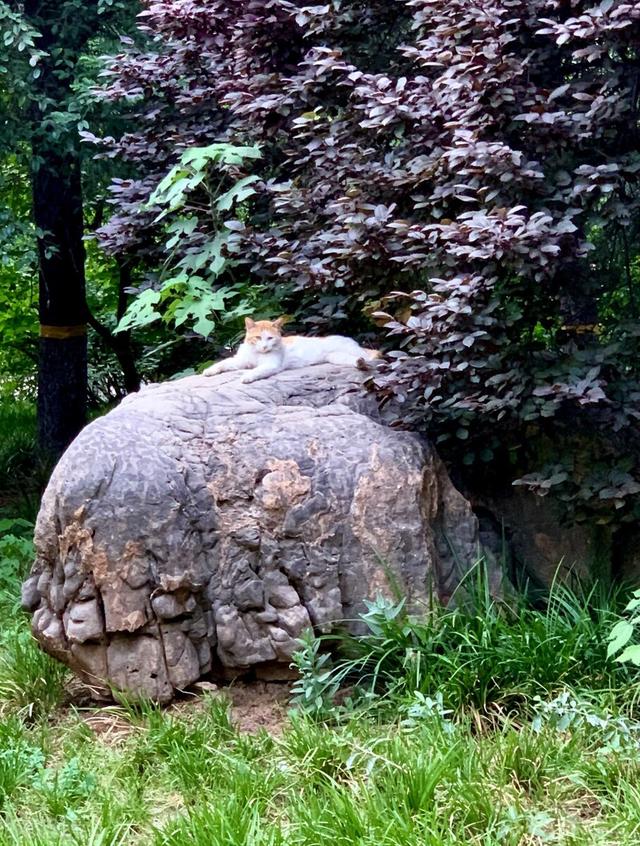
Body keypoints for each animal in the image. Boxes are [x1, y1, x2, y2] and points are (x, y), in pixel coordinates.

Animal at [202, 318, 378, 384]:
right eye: (258, 337)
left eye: (270, 338)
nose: (264, 346)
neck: (257, 353)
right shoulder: (239, 361)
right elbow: (223, 363)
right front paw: (209, 371)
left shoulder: (271, 365)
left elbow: (257, 370)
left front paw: (247, 376)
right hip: (337, 357)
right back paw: (360, 364)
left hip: (351, 351)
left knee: (373, 356)